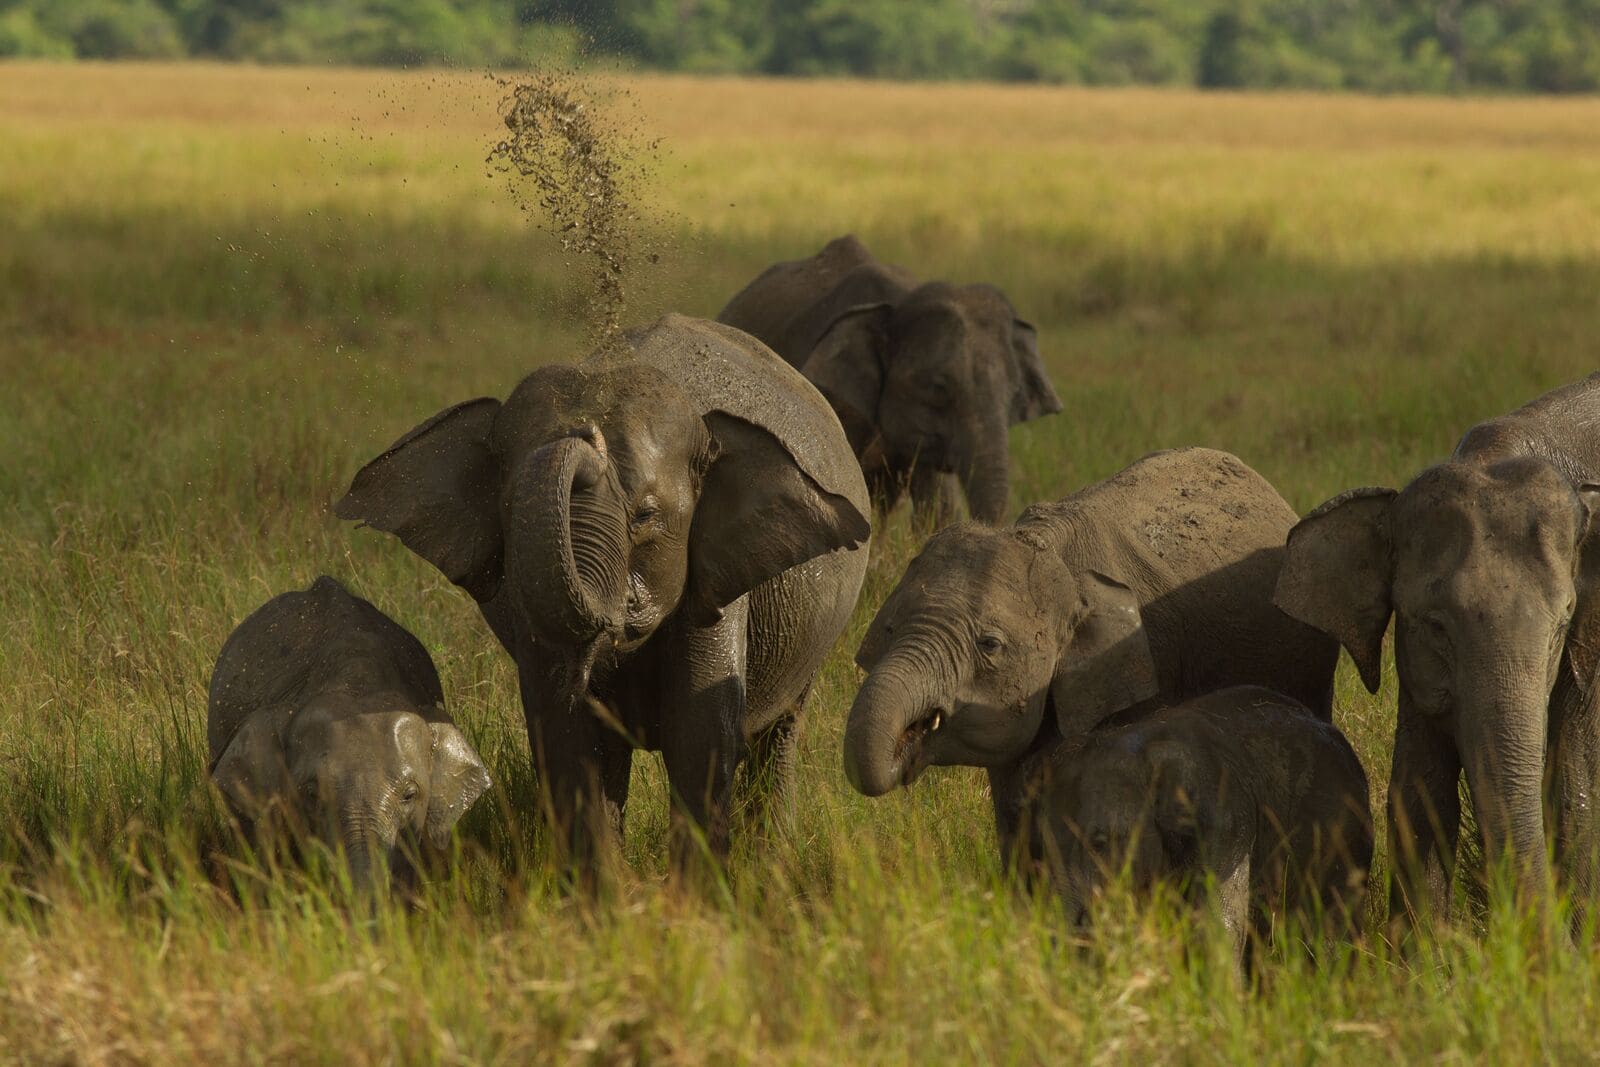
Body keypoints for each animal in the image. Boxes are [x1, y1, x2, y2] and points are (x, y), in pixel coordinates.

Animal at [335, 314, 871, 874]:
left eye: (646, 516)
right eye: (511, 510)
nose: (585, 431)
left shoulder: (716, 586)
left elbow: (699, 735)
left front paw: (694, 895)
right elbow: (567, 739)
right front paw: (606, 894)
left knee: (780, 733)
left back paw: (773, 861)